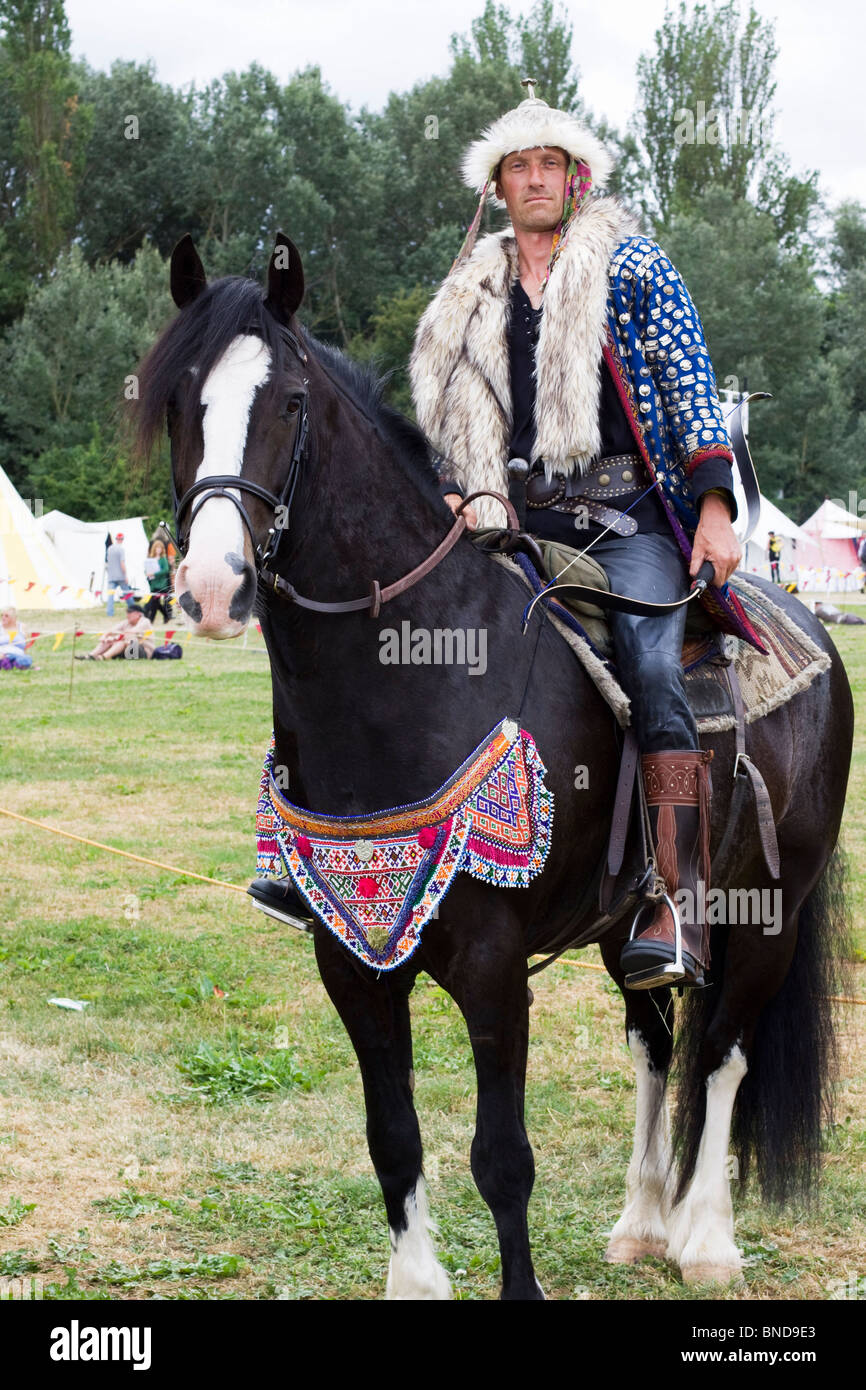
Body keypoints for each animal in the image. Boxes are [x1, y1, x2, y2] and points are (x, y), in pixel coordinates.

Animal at [134, 233, 856, 1295]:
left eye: (291, 401)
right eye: (180, 401)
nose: (213, 587)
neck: (413, 673)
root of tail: (801, 623)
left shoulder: (492, 964)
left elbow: (502, 1159)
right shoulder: (350, 962)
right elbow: (393, 1138)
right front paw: (415, 1280)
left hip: (770, 904)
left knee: (724, 1052)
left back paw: (704, 1238)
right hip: (633, 924)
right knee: (655, 1041)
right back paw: (641, 1221)